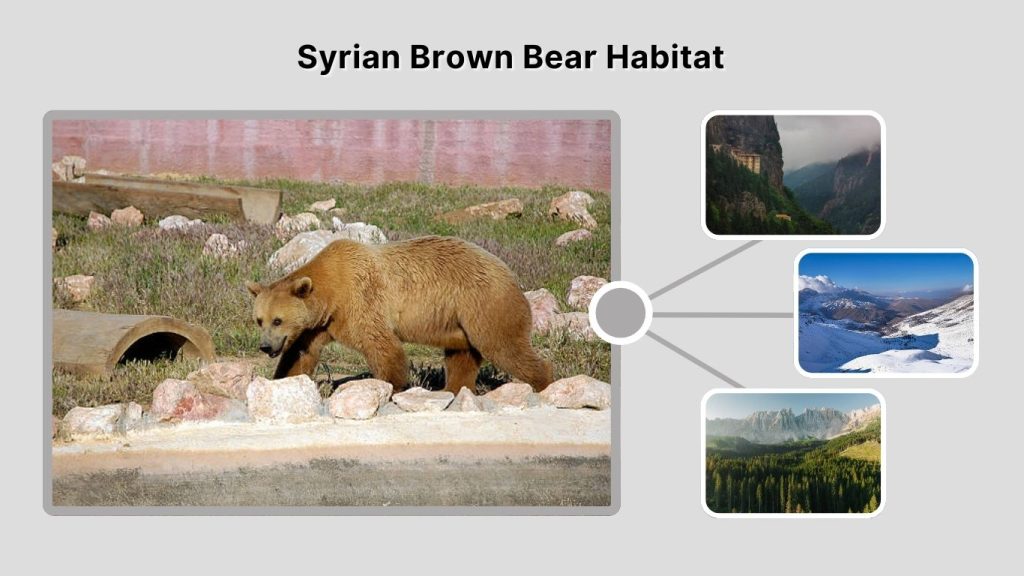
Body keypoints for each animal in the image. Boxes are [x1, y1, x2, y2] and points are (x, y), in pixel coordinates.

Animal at [247, 235, 553, 393]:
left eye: (278, 320)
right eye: (259, 320)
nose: (266, 346)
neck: (332, 291)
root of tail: (511, 274)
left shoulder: (360, 301)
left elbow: (382, 346)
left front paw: (391, 385)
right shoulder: (319, 325)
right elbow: (300, 355)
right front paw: (280, 381)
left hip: (485, 304)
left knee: (503, 345)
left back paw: (543, 382)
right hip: (457, 321)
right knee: (462, 357)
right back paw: (453, 391)